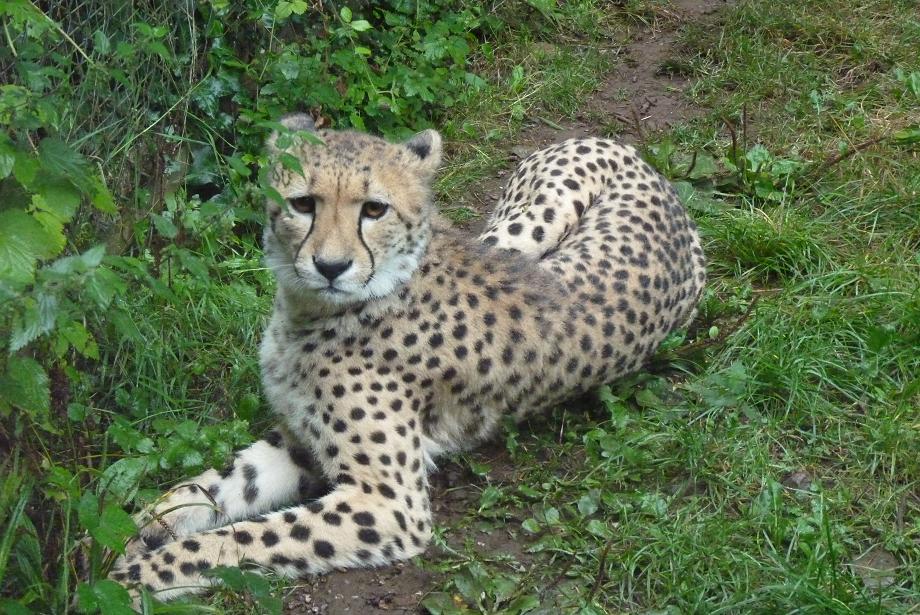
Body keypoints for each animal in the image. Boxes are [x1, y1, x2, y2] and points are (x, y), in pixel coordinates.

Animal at [108, 113, 706, 600]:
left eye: (374, 209)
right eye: (303, 204)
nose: (330, 267)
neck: (312, 310)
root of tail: (649, 166)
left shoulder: (388, 505)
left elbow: (243, 539)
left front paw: (137, 577)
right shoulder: (300, 439)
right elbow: (221, 482)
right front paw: (143, 527)